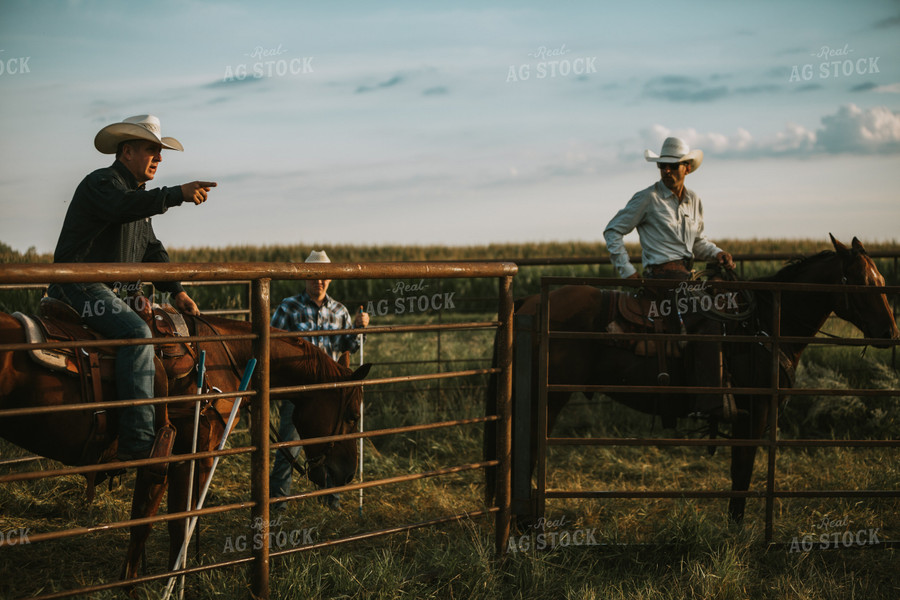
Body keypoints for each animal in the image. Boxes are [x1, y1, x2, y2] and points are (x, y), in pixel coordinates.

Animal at [0, 308, 370, 580]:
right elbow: (179, 524)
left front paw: (132, 581)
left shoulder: (165, 459)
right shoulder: (196, 452)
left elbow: (143, 522)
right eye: (353, 415)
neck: (224, 359)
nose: (349, 474)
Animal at [488, 234, 896, 524]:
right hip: (547, 398)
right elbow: (742, 471)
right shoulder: (753, 414)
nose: (890, 332)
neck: (762, 325)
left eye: (881, 278)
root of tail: (530, 302)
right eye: (861, 282)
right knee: (527, 450)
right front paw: (736, 530)